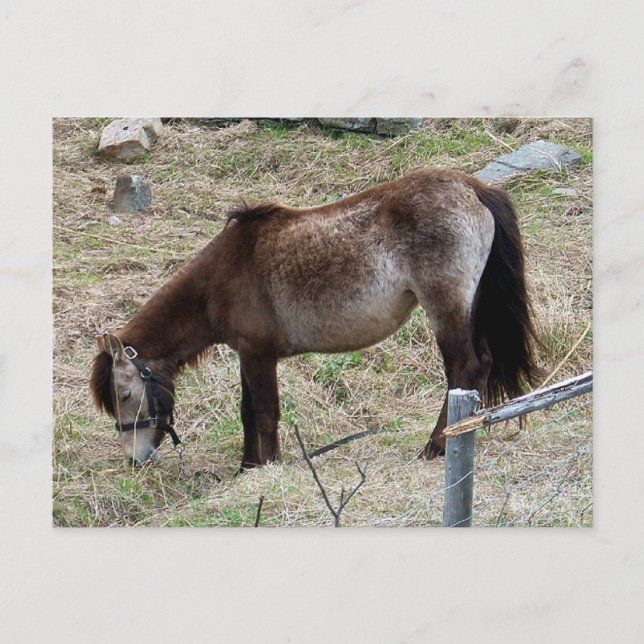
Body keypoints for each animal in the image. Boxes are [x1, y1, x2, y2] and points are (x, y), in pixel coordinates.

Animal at [90, 168, 540, 469]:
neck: (223, 275)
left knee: (465, 368)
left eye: (124, 395)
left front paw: (270, 466)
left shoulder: (259, 356)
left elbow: (265, 413)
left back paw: (437, 446)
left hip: (445, 309)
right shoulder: (246, 355)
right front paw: (247, 468)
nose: (135, 458)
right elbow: (247, 413)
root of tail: (473, 187)